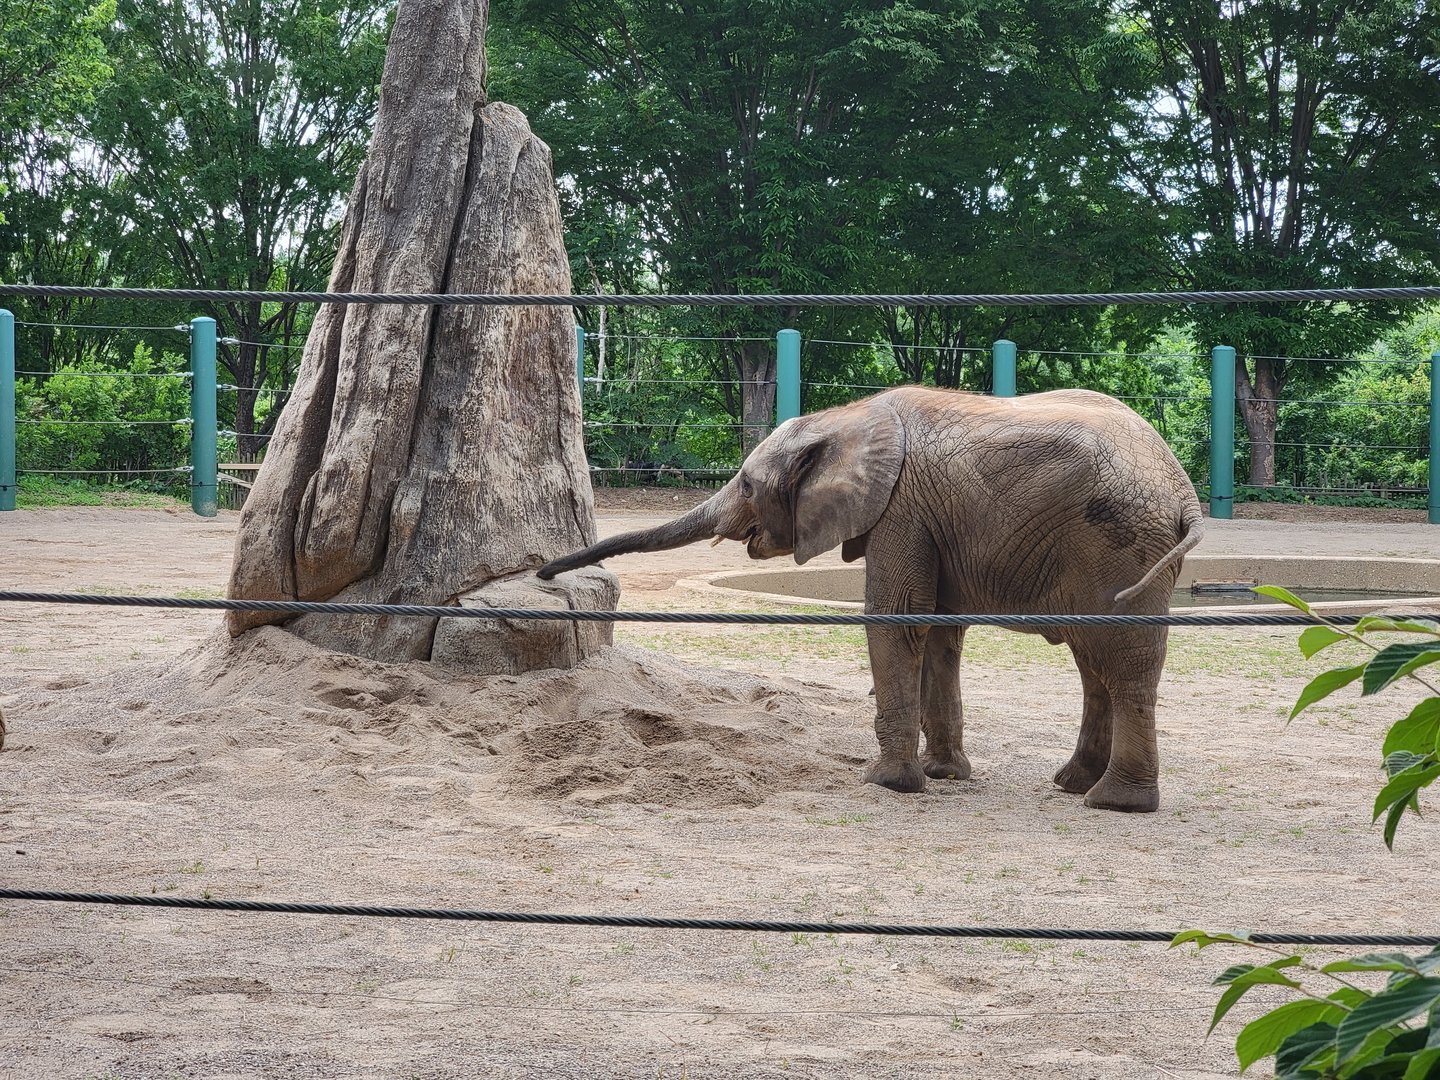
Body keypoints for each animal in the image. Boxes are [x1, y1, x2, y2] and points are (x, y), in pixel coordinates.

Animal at [538, 386, 1204, 813]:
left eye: (748, 485)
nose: (544, 574)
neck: (845, 419)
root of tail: (1183, 492)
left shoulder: (901, 510)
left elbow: (896, 623)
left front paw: (886, 784)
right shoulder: (930, 522)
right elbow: (940, 632)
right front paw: (942, 775)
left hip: (1118, 544)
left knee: (1123, 663)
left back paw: (1115, 803)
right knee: (1098, 664)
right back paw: (1072, 784)